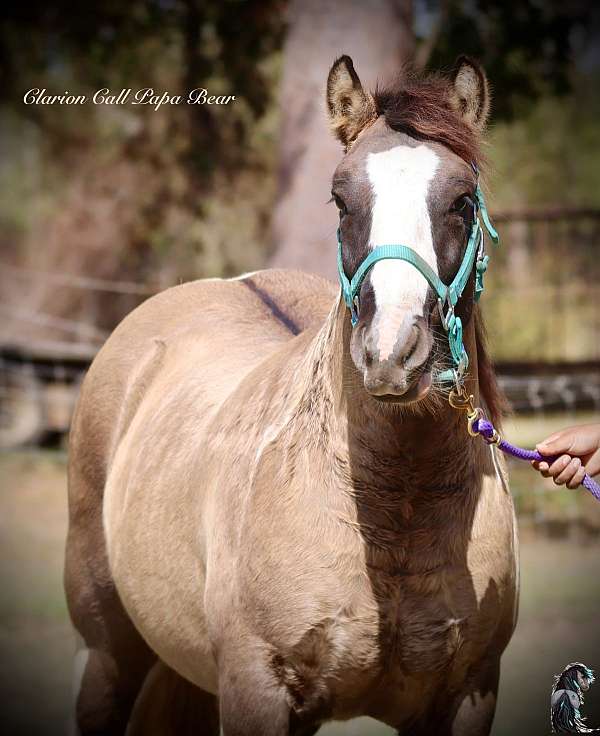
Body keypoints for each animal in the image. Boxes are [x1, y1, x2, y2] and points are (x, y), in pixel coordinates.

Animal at [64, 54, 516, 732]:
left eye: (462, 201)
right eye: (340, 199)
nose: (392, 355)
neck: (396, 511)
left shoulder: (469, 694)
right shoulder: (257, 690)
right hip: (109, 654)